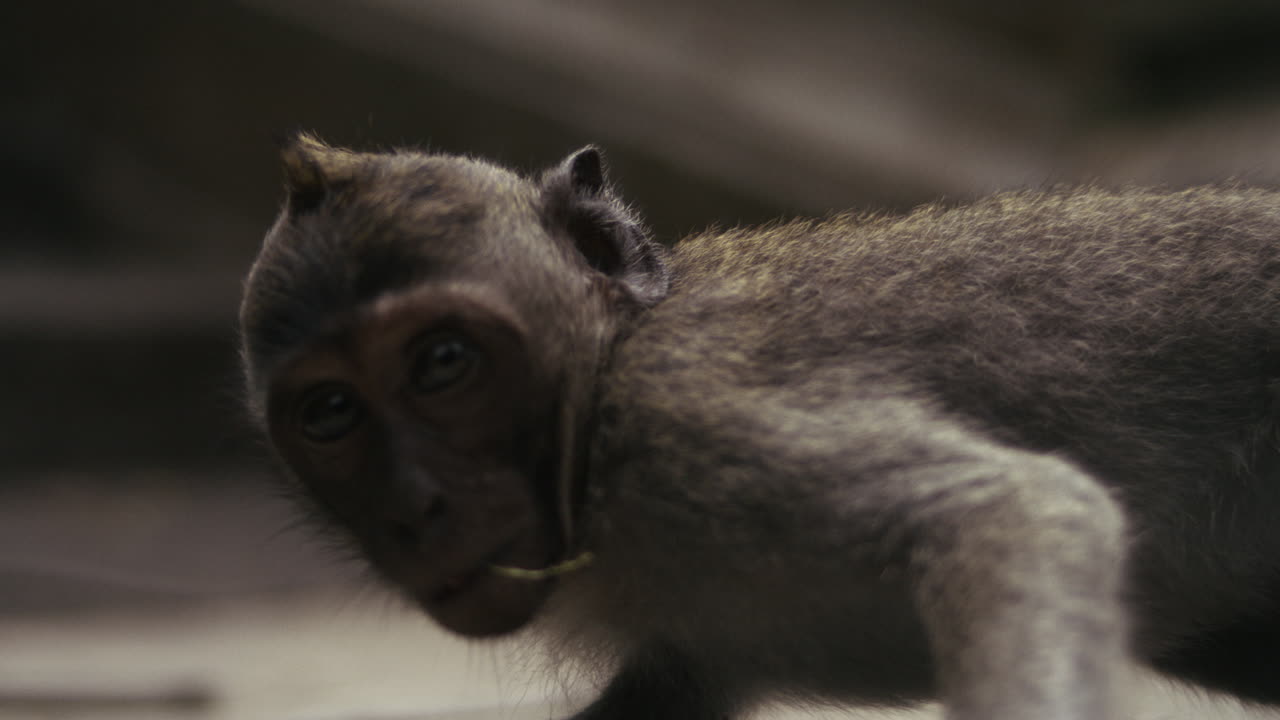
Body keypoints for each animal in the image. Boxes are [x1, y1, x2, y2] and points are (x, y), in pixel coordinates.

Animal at [239, 133, 1280, 720]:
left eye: (444, 362)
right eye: (331, 414)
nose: (413, 509)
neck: (600, 379)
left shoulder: (690, 422)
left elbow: (1014, 515)